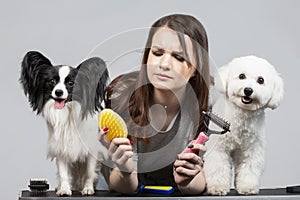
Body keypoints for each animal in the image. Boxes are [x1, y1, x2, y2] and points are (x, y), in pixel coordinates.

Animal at [19, 50, 109, 196]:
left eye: (71, 83)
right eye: (52, 81)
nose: (58, 92)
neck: (68, 113)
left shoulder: (92, 150)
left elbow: (89, 172)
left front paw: (88, 189)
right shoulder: (61, 148)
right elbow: (63, 173)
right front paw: (65, 189)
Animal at [204, 55, 284, 195]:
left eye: (261, 80)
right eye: (241, 76)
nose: (248, 90)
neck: (242, 117)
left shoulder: (252, 150)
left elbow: (249, 167)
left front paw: (247, 187)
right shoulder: (218, 147)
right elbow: (217, 166)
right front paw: (217, 187)